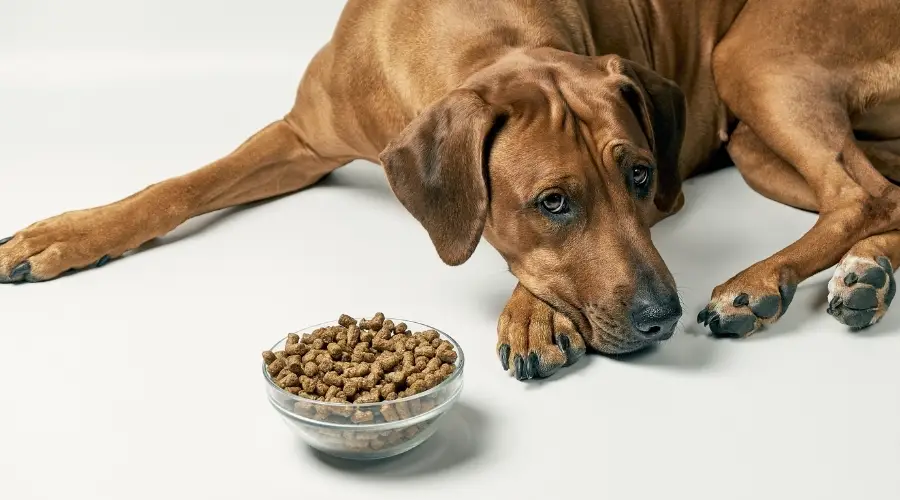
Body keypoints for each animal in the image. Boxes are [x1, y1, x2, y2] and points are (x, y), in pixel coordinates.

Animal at [1, 0, 900, 380]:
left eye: (643, 178)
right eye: (553, 201)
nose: (660, 317)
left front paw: (531, 315)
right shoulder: (300, 138)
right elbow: (180, 185)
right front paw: (65, 233)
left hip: (756, 60)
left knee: (857, 194)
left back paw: (760, 284)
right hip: (755, 136)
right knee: (881, 193)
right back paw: (868, 275)